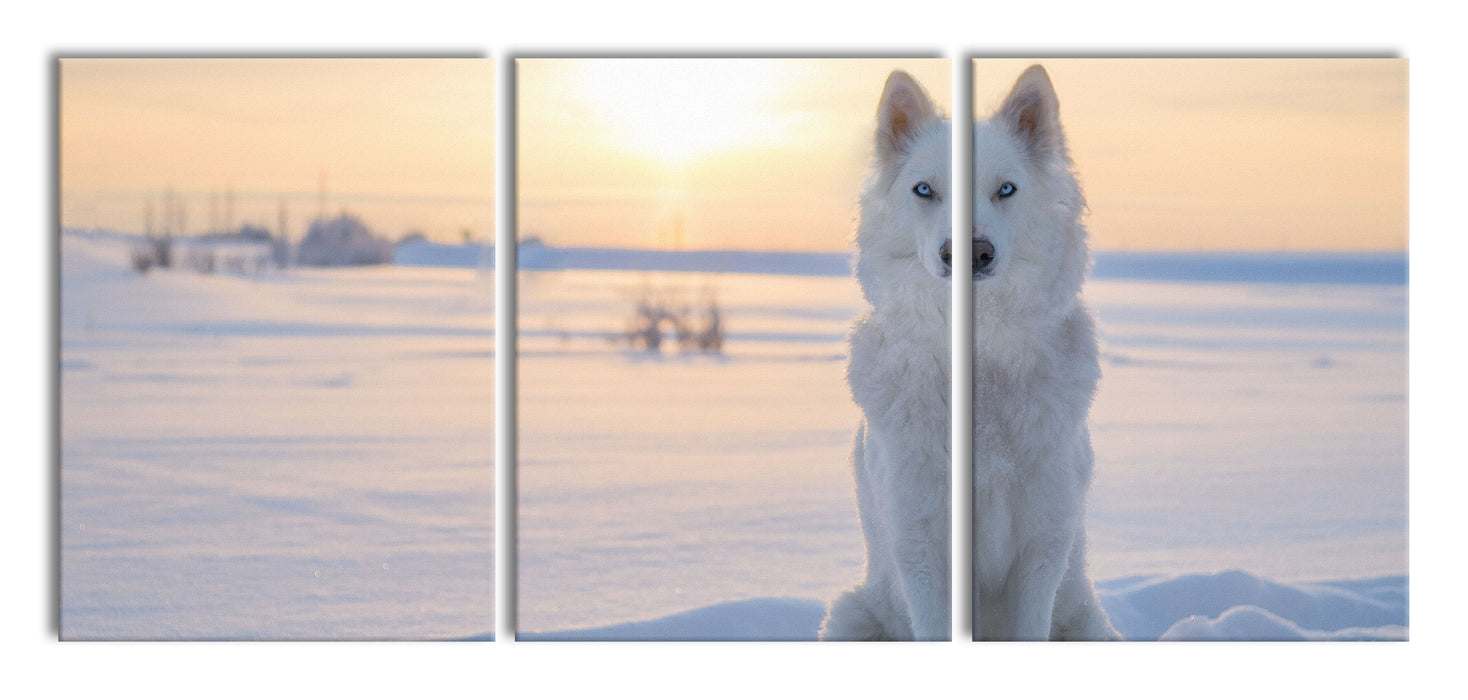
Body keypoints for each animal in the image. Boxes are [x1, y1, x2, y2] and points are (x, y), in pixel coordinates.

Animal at [822, 68, 1115, 639]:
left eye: (1006, 189)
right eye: (924, 190)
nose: (969, 253)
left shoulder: (1042, 545)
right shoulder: (921, 544)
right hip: (850, 616)